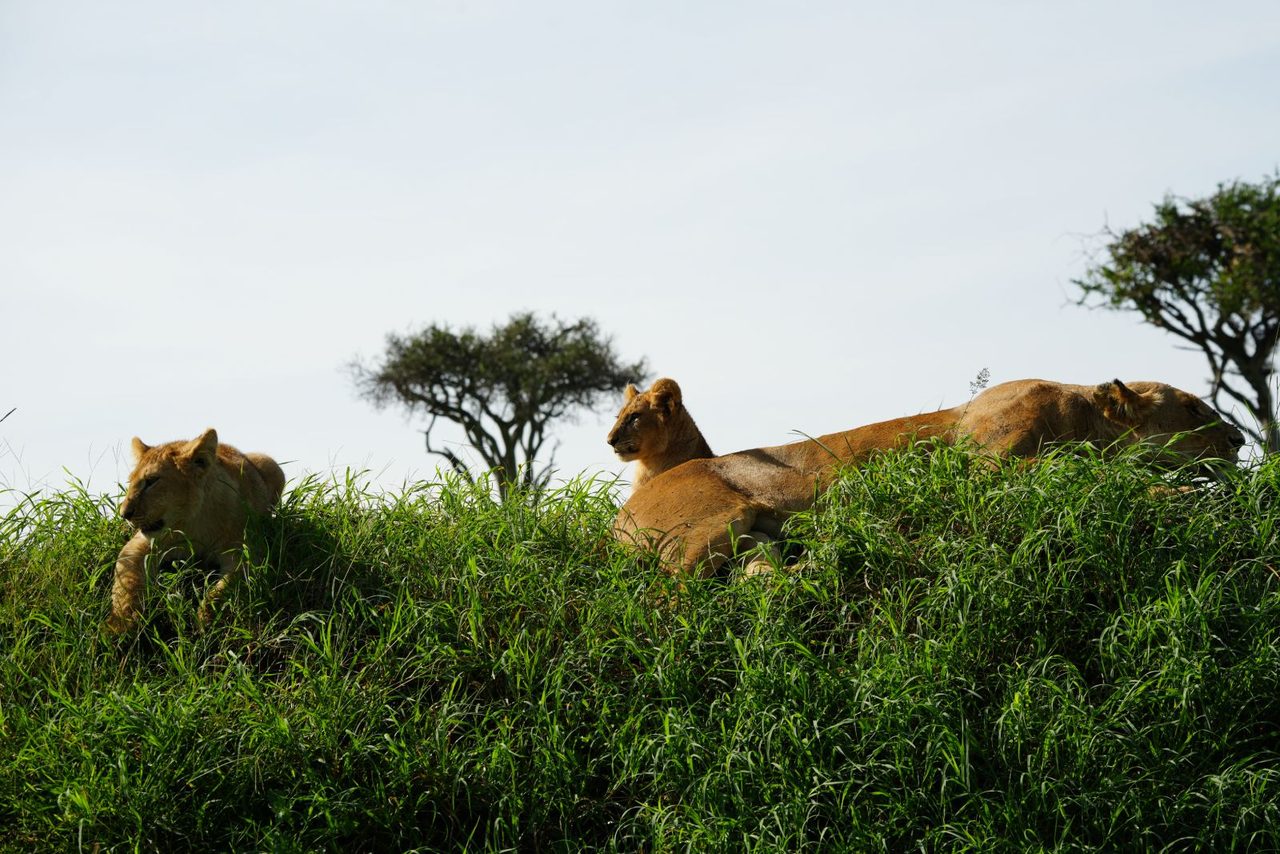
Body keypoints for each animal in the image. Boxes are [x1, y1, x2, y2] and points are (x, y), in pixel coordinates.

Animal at [105, 428, 285, 633]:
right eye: (130, 482)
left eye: (151, 481)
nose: (124, 514)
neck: (194, 522)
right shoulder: (140, 545)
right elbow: (127, 581)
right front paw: (120, 623)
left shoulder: (246, 553)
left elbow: (227, 586)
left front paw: (206, 617)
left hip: (271, 465)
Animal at [615, 378, 1245, 578]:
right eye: (1195, 408)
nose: (1240, 441)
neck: (1082, 412)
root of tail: (622, 514)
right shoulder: (987, 462)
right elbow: (1079, 471)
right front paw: (1180, 492)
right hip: (706, 528)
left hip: (752, 538)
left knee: (757, 577)